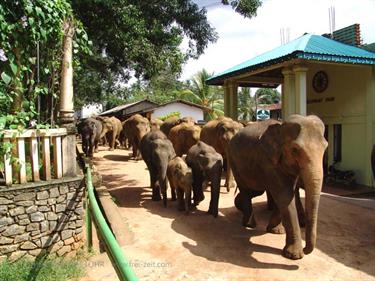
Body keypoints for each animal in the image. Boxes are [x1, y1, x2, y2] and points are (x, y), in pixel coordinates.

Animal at [228, 115, 328, 260]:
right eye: (295, 149)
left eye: (326, 147)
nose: (305, 249)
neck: (281, 125)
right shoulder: (268, 161)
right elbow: (284, 195)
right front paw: (294, 256)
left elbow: (286, 194)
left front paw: (276, 231)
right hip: (233, 161)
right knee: (245, 189)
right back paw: (249, 224)